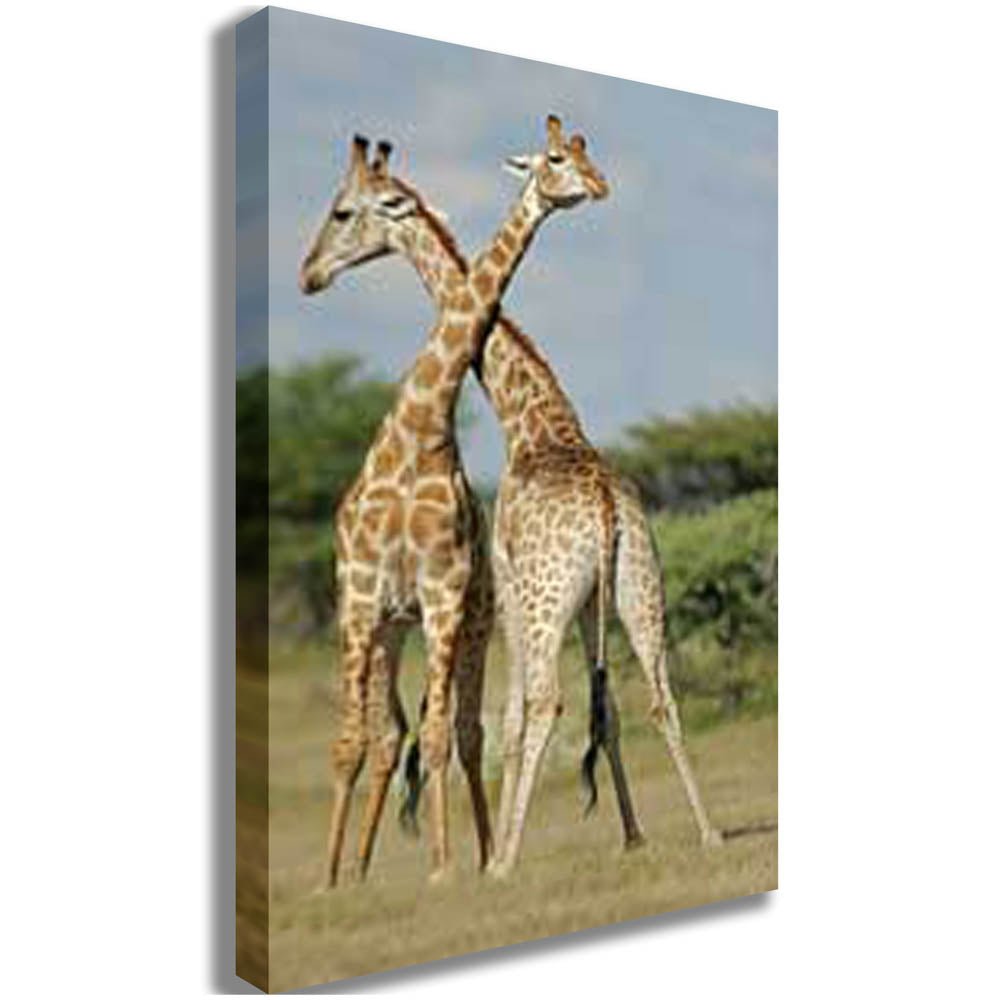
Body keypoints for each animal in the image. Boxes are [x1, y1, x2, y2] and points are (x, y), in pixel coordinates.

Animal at [302, 120, 722, 877]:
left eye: (343, 212)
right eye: (565, 155)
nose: (311, 273)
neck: (532, 420)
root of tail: (609, 510)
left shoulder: (503, 580)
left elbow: (518, 712)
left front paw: (497, 851)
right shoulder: (585, 602)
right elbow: (608, 709)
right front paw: (632, 834)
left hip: (542, 598)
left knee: (542, 703)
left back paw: (499, 861)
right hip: (640, 587)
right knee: (659, 696)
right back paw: (708, 834)